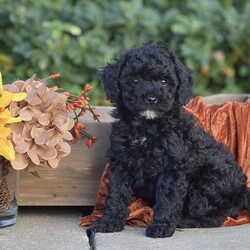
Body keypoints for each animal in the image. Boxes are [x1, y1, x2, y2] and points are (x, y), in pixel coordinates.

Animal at [91, 42, 249, 237]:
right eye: (135, 80)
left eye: (164, 82)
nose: (151, 99)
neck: (147, 126)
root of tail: (243, 191)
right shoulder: (121, 162)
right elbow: (116, 193)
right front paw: (109, 221)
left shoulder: (171, 167)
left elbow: (168, 198)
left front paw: (161, 226)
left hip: (205, 186)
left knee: (219, 216)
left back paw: (185, 221)